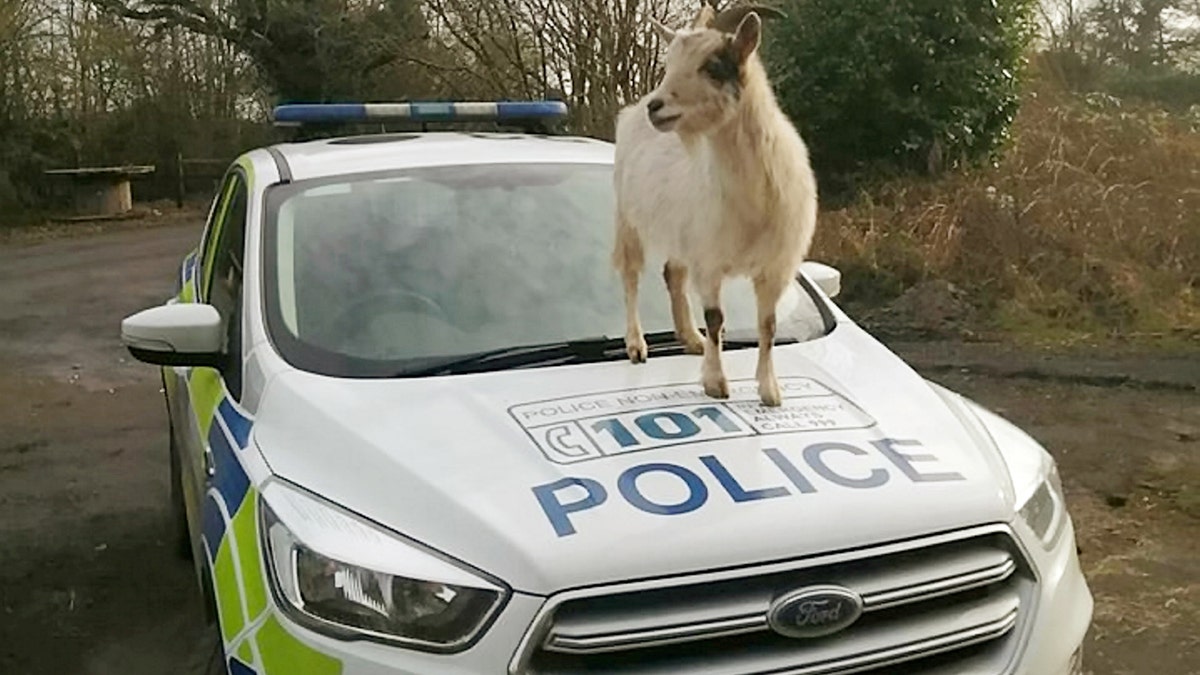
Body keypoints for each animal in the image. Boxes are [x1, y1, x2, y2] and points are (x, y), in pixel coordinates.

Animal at [614, 1, 820, 403]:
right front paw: (715, 383)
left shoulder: (776, 267)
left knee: (673, 274)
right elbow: (716, 319)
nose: (656, 107)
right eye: (669, 63)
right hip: (628, 218)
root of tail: (631, 110)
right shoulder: (708, 262)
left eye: (712, 65)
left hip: (680, 235)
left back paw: (690, 340)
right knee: (630, 276)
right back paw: (636, 345)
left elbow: (768, 324)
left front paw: (770, 391)